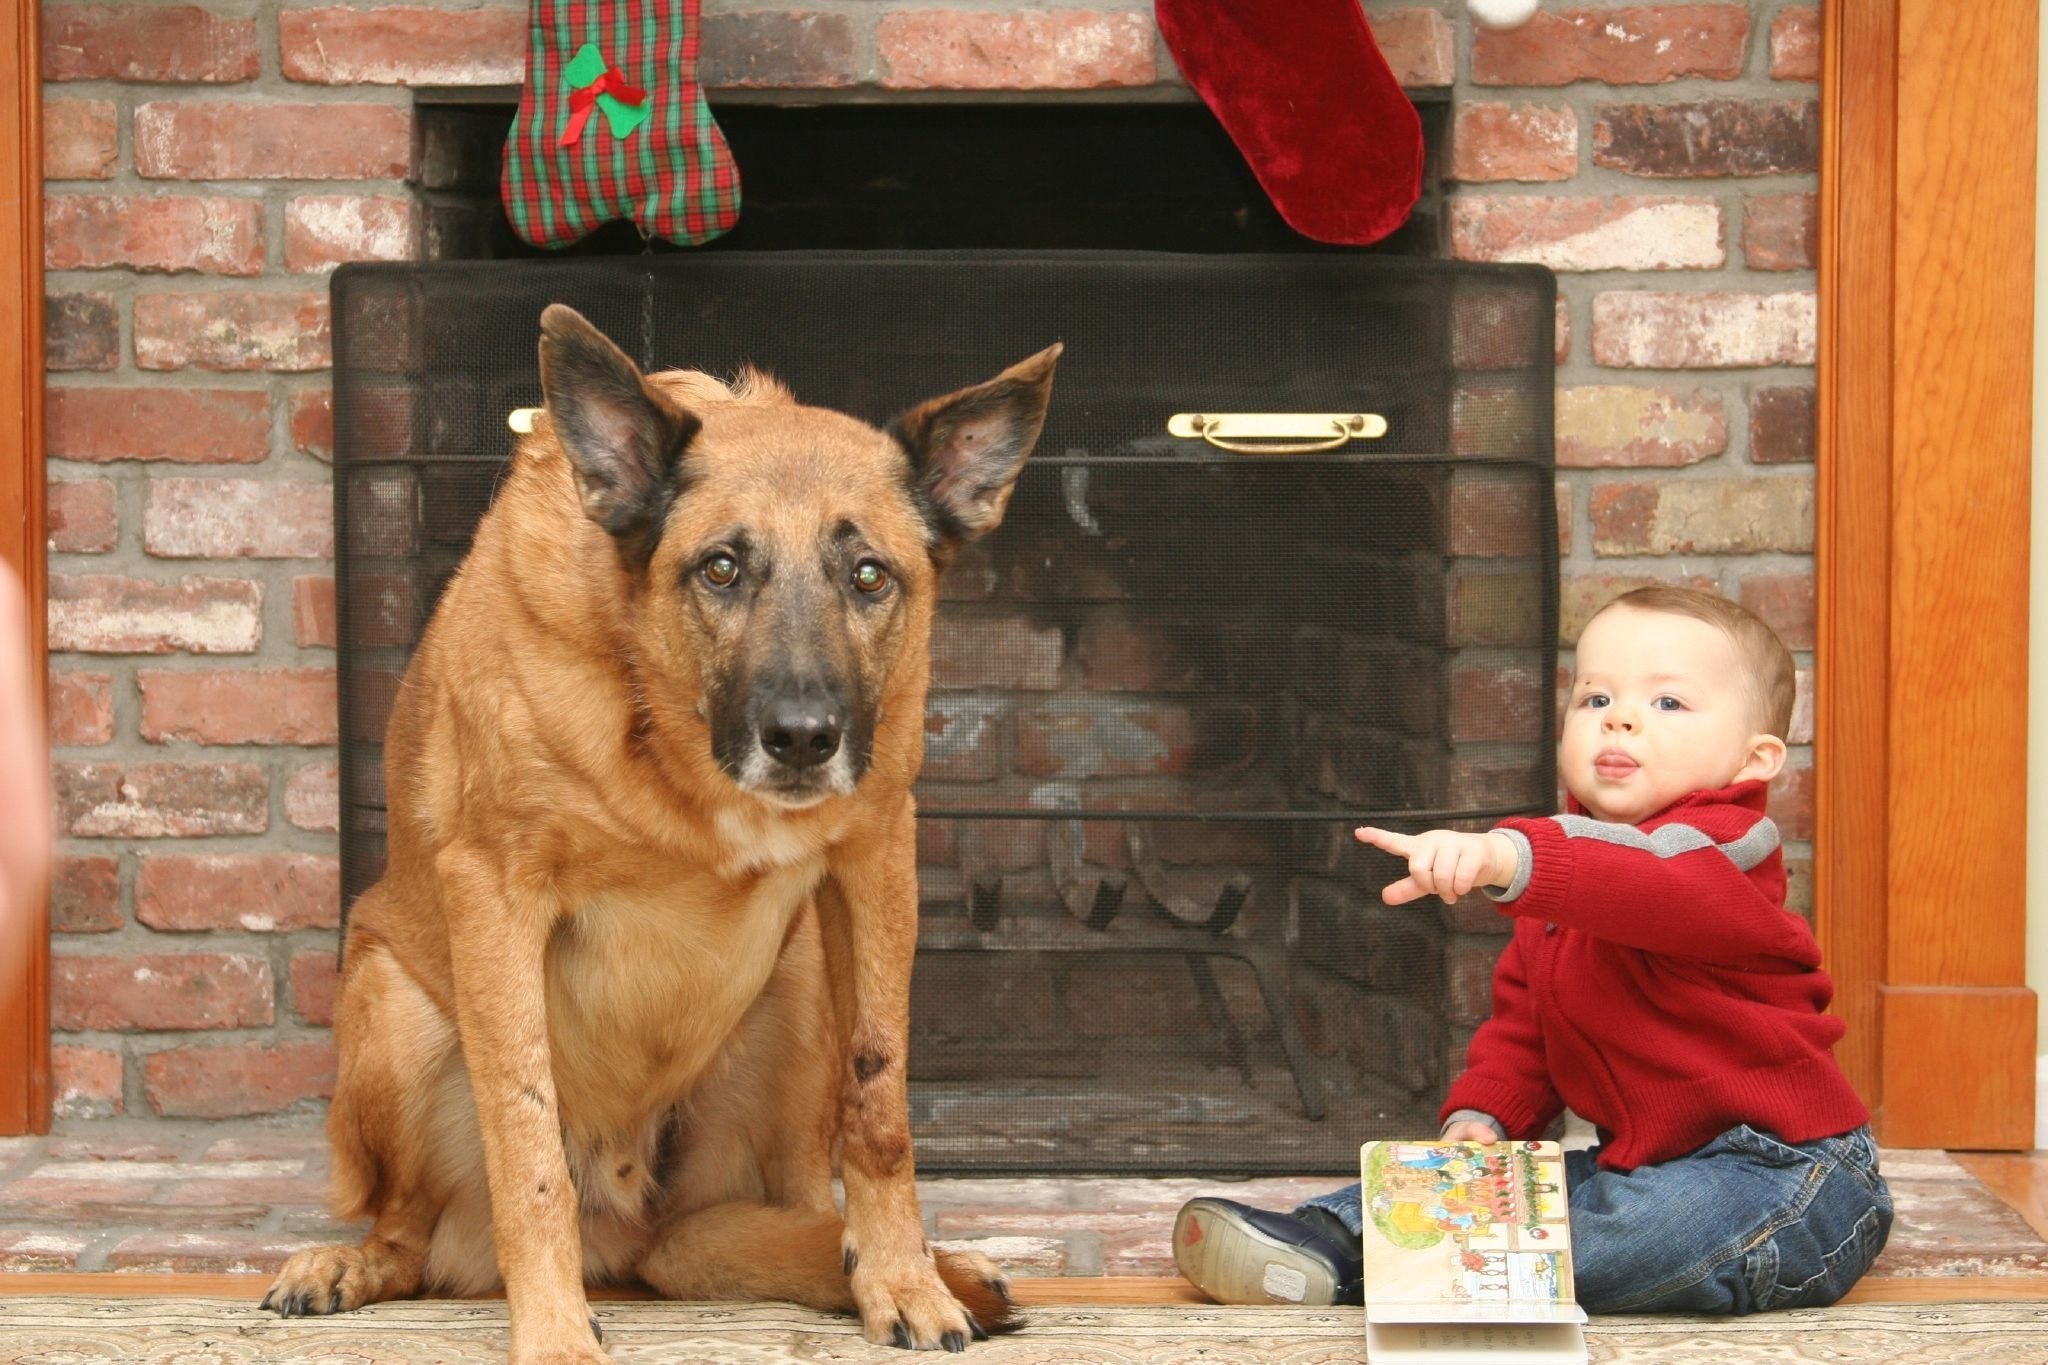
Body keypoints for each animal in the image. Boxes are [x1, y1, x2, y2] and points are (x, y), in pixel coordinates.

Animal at [264, 304, 1064, 1358]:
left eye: (869, 575)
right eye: (719, 568)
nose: (802, 738)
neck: (671, 735)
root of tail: (630, 1227)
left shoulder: (874, 856)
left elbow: (881, 1100)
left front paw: (901, 1278)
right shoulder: (495, 895)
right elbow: (526, 1136)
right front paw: (555, 1333)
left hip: (800, 985)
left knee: (785, 1206)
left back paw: (899, 1269)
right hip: (393, 1006)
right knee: (409, 1232)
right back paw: (349, 1264)